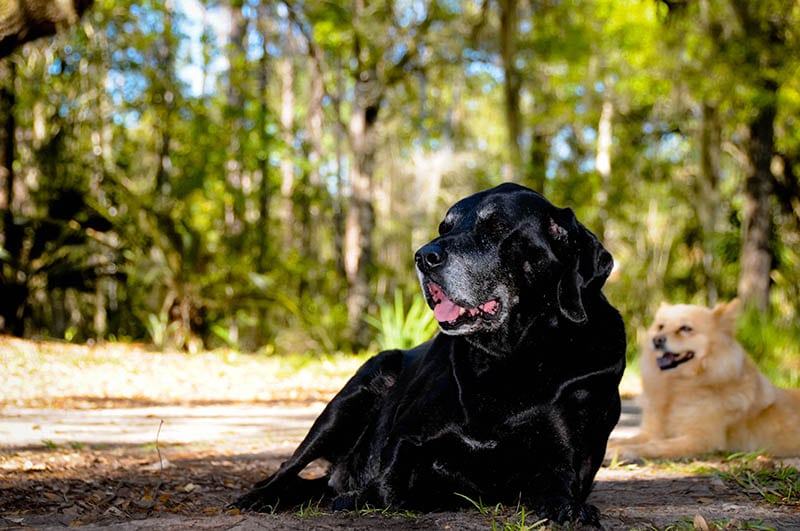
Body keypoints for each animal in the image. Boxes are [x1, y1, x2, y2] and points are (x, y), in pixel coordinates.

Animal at [231, 184, 624, 528]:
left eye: (495, 227)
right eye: (444, 228)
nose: (423, 256)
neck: (507, 357)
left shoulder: (566, 461)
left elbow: (561, 488)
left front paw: (571, 510)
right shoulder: (406, 438)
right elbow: (389, 485)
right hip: (351, 398)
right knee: (291, 466)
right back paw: (262, 495)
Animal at [608, 302, 800, 460]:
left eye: (686, 328)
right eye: (660, 326)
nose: (657, 339)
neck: (676, 387)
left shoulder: (700, 440)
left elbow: (654, 446)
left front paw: (622, 452)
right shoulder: (652, 432)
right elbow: (626, 440)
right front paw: (614, 446)